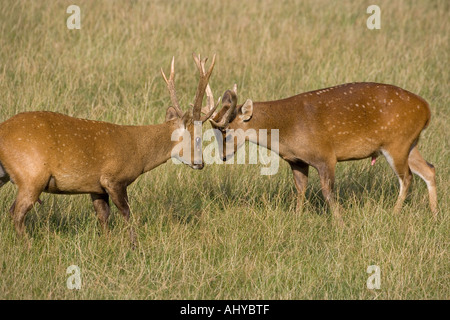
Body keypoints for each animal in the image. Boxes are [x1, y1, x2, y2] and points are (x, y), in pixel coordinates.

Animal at [0, 53, 218, 240]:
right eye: (198, 138)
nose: (201, 164)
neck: (139, 151)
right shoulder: (113, 178)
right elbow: (127, 214)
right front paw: (133, 244)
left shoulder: (96, 186)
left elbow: (103, 217)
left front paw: (107, 243)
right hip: (31, 175)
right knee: (16, 212)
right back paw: (26, 245)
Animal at [206, 81, 438, 224]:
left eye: (226, 130)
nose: (224, 156)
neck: (285, 132)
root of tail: (427, 109)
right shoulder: (297, 161)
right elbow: (300, 190)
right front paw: (297, 218)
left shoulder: (326, 156)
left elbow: (327, 192)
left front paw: (341, 223)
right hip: (409, 144)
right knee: (429, 169)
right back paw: (435, 214)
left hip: (397, 143)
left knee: (407, 178)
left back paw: (394, 214)